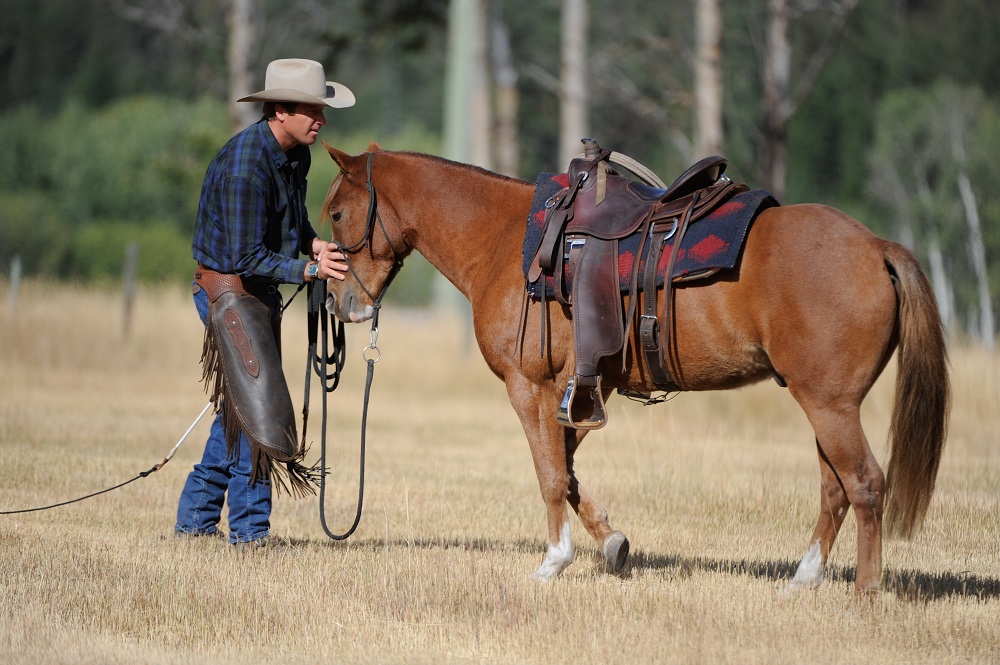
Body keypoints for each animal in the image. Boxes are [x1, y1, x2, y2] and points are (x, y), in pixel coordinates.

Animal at [318, 141, 950, 595]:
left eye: (339, 212)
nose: (343, 305)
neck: (502, 241)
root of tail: (876, 247)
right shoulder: (576, 394)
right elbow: (568, 472)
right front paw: (611, 543)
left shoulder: (530, 388)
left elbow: (550, 475)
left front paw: (554, 562)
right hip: (823, 403)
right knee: (835, 489)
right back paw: (805, 578)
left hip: (830, 405)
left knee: (864, 483)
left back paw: (865, 592)